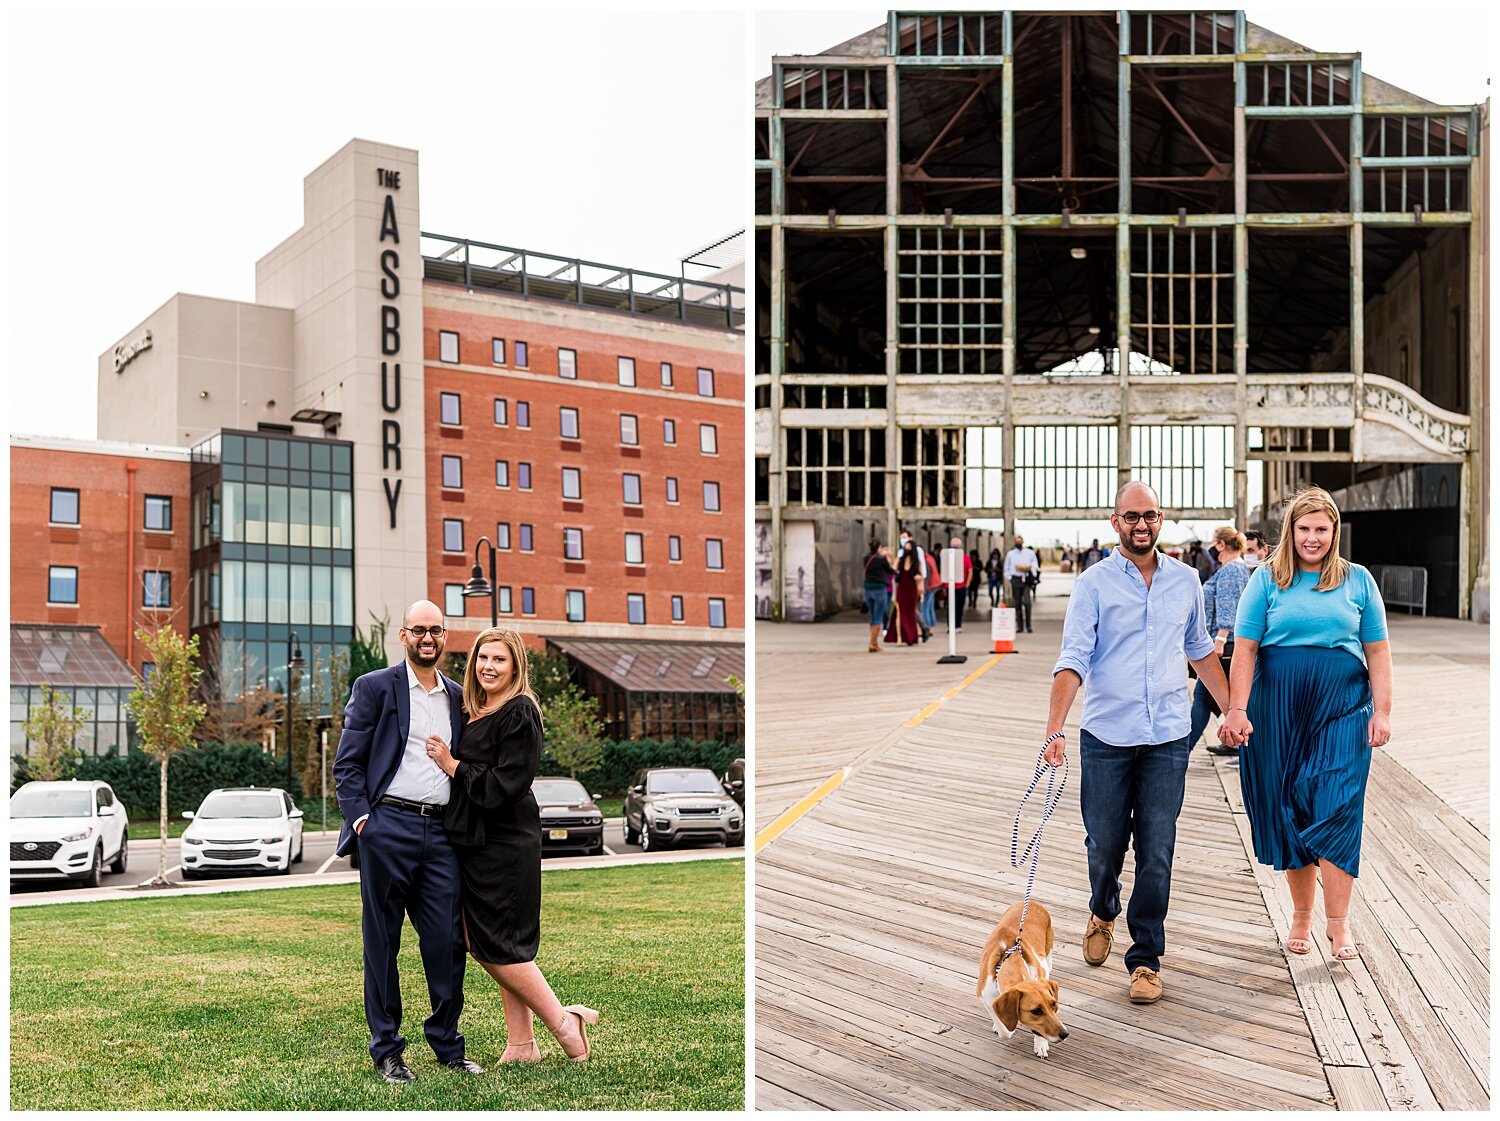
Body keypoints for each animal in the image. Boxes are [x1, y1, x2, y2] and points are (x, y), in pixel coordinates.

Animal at [978, 900, 1074, 1062]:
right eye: (1036, 1011)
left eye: (1054, 1004)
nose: (1064, 1034)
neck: (1010, 959)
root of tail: (1033, 902)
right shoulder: (985, 996)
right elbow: (1005, 1030)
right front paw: (1004, 1026)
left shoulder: (1042, 970)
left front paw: (1040, 1043)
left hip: (1048, 954)